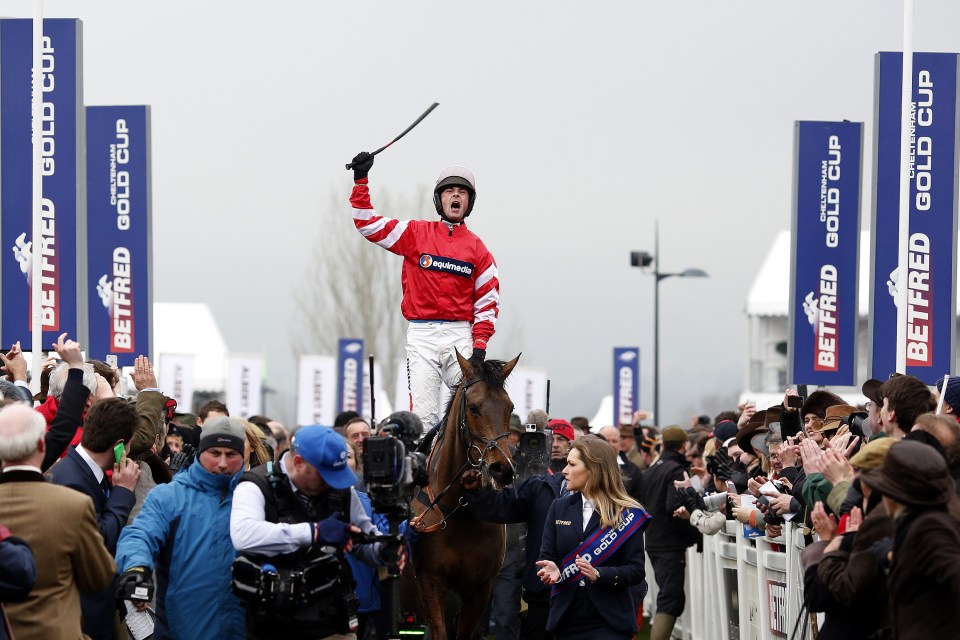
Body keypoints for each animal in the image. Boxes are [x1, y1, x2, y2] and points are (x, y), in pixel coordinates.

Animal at [408, 350, 520, 640]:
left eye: (510, 407)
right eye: (473, 407)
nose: (502, 469)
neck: (459, 510)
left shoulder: (480, 589)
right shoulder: (430, 582)